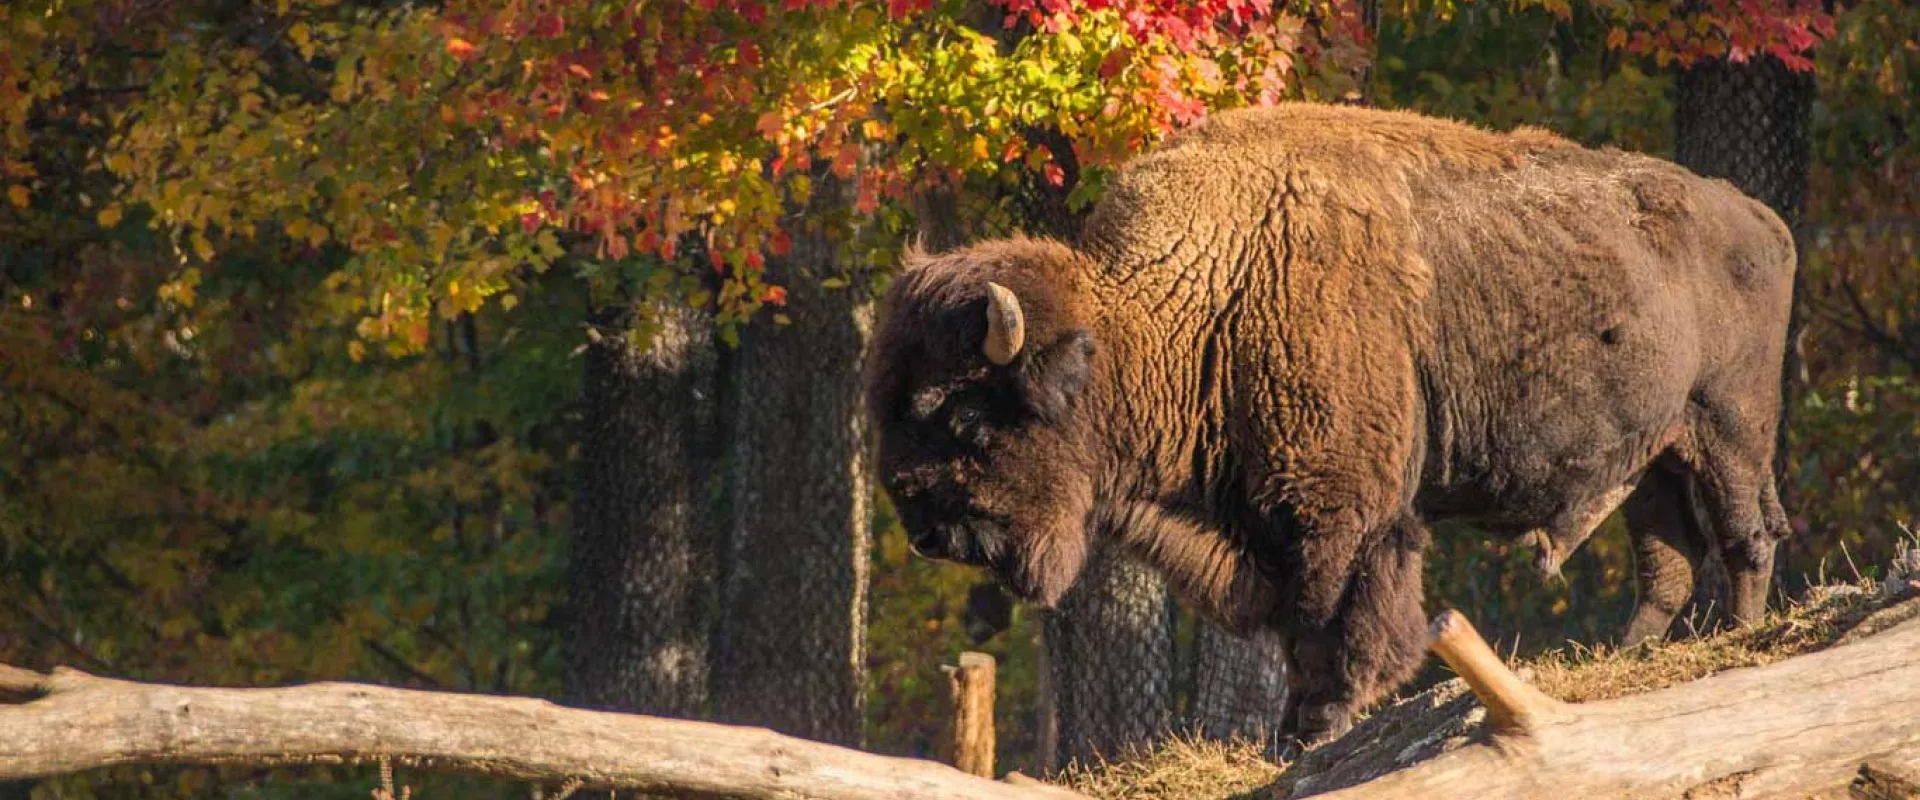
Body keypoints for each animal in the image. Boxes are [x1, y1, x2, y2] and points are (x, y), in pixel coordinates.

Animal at [871, 102, 1797, 744]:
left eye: (965, 416)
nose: (928, 529)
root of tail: (1760, 217)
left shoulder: (1339, 508)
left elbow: (1335, 613)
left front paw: (1321, 723)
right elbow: (1296, 621)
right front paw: (1297, 728)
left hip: (1728, 427)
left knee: (1746, 535)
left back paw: (1742, 637)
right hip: (1654, 457)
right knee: (1670, 557)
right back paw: (1630, 654)